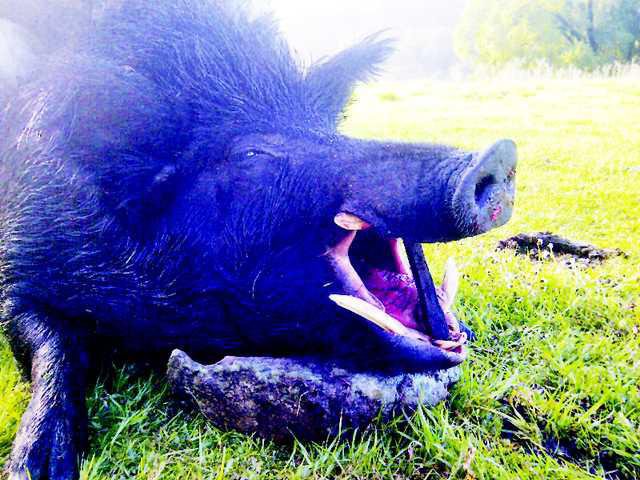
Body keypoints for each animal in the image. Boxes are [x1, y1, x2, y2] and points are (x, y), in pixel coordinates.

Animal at [0, 1, 517, 478]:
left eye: (328, 128)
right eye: (251, 154)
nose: (496, 155)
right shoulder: (20, 257)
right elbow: (52, 342)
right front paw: (36, 468)